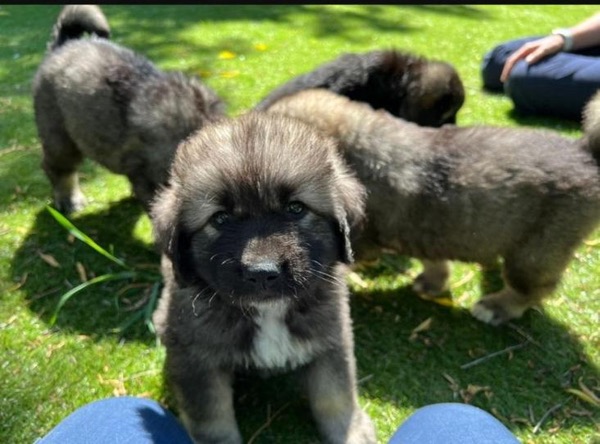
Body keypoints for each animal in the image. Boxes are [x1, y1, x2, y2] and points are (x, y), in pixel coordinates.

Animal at [150, 112, 376, 442]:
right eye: (220, 218)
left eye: (296, 208)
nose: (262, 272)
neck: (268, 311)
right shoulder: (197, 361)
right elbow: (212, 419)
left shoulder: (331, 340)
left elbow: (335, 396)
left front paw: (351, 432)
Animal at [264, 89, 600, 326]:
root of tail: (585, 154)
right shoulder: (428, 231)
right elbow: (434, 260)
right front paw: (431, 284)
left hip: (535, 253)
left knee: (533, 289)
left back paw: (496, 307)